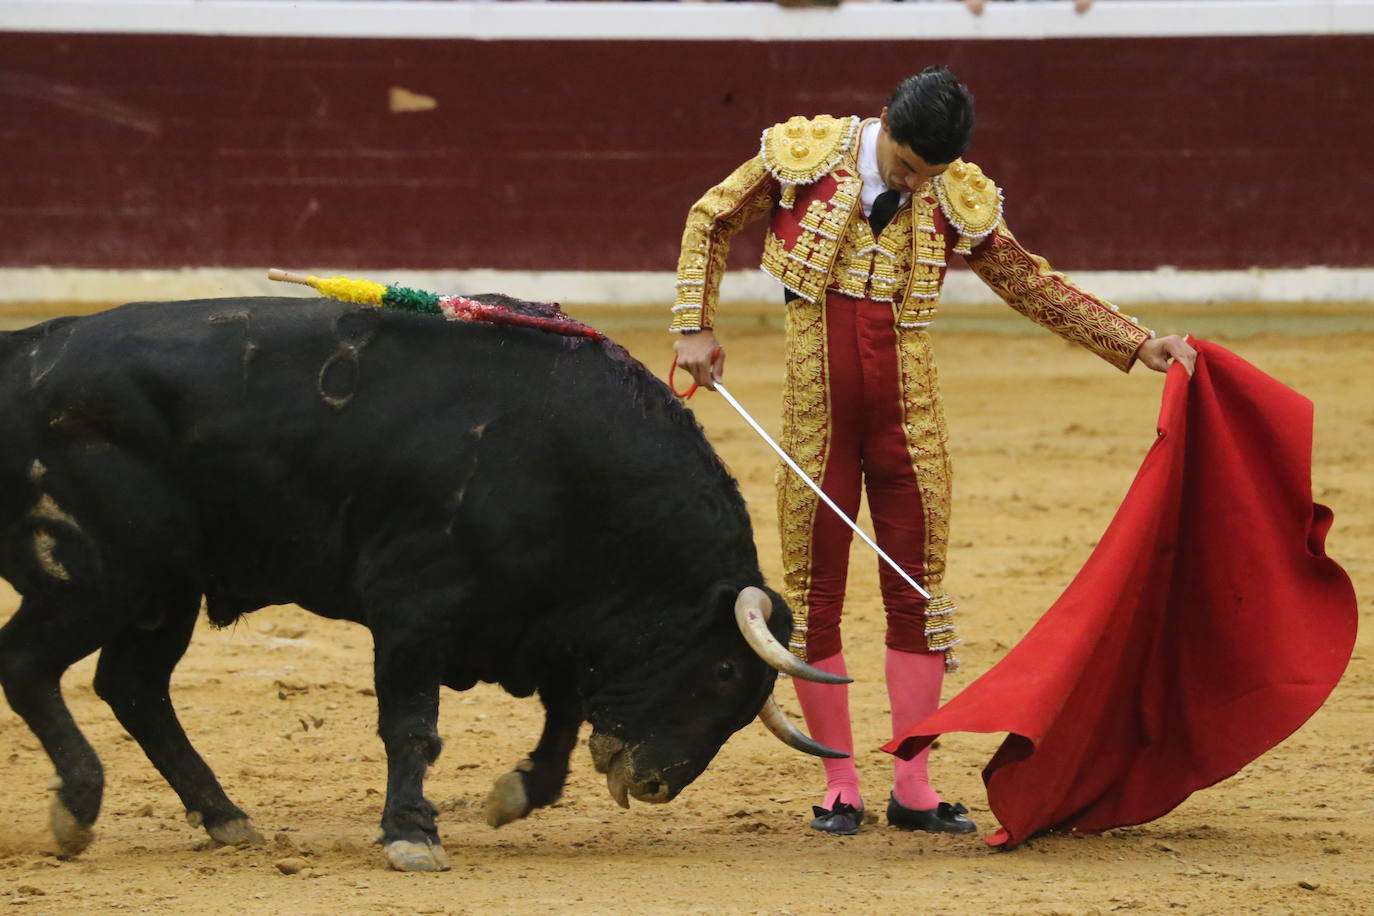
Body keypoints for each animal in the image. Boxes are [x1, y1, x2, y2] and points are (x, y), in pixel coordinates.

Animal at [0, 298, 840, 873]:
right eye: (724, 669)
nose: (657, 783)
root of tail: (21, 350)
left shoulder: (549, 620)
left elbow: (563, 717)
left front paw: (514, 795)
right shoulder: (413, 605)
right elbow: (413, 724)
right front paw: (412, 834)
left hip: (162, 593)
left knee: (134, 688)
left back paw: (225, 816)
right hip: (94, 578)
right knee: (30, 664)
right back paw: (79, 805)